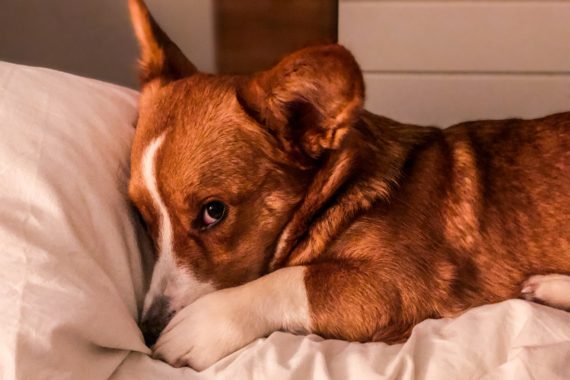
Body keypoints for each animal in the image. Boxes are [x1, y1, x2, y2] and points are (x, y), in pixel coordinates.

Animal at [126, 0, 568, 370]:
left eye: (213, 211)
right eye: (143, 217)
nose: (148, 330)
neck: (343, 190)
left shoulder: (399, 285)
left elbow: (297, 279)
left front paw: (198, 326)